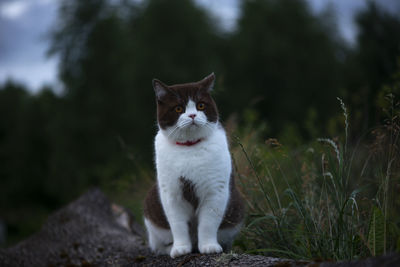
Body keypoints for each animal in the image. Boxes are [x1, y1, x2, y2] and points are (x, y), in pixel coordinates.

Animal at [144, 73, 244, 260]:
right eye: (178, 108)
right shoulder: (171, 193)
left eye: (200, 105)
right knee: (158, 246)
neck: (189, 147)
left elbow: (208, 223)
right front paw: (181, 249)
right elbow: (178, 224)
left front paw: (209, 246)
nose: (192, 115)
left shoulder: (215, 190)